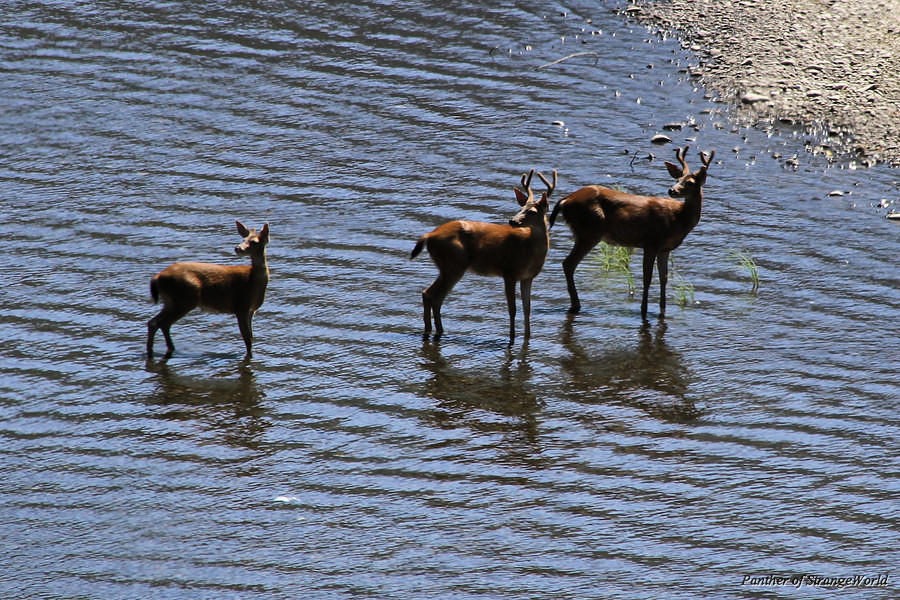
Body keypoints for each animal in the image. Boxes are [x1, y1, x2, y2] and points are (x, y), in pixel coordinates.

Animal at [147, 221, 270, 359]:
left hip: (170, 301)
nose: (238, 248)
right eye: (243, 239)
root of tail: (157, 277)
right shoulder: (240, 306)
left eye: (254, 241)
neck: (252, 283)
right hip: (185, 299)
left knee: (154, 322)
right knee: (162, 323)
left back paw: (157, 351)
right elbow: (247, 339)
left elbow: (251, 337)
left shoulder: (251, 310)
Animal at [410, 168, 557, 340]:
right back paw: (435, 331)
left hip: (448, 266)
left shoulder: (527, 277)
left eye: (532, 211)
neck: (530, 251)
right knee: (433, 295)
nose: (512, 221)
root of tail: (429, 235)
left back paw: (434, 330)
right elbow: (512, 309)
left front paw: (528, 337)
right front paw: (512, 337)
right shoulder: (509, 271)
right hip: (454, 264)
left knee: (430, 295)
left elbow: (527, 308)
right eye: (520, 208)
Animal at [549, 146, 714, 319]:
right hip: (589, 231)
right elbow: (647, 278)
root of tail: (565, 200)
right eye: (678, 179)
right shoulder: (651, 242)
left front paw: (663, 311)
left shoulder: (665, 249)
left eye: (689, 182)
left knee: (568, 263)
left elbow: (664, 278)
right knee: (568, 263)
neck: (678, 219)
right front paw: (644, 310)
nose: (672, 190)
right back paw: (576, 305)